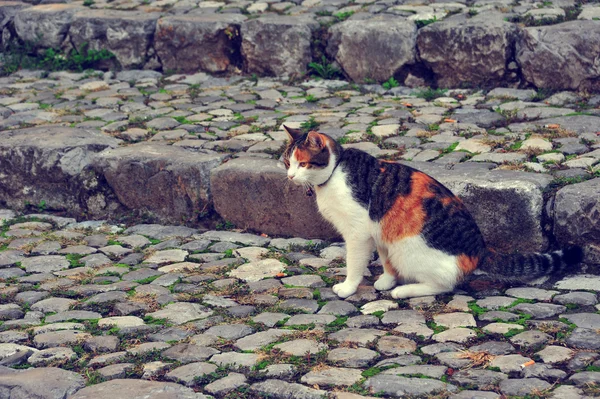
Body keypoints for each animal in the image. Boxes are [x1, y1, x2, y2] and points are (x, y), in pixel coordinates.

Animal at [284, 126, 584, 298]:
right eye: (287, 161)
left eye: (303, 163)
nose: (289, 176)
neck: (335, 171)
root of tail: (480, 249)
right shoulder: (381, 232)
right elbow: (386, 261)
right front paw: (385, 281)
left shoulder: (358, 233)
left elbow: (354, 264)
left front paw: (348, 288)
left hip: (410, 250)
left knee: (444, 285)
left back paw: (404, 291)